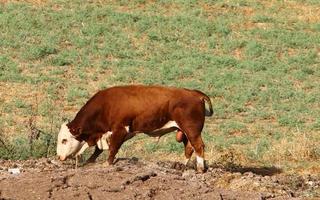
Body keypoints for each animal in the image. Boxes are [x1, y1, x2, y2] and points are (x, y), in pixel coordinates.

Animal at [56, 84, 214, 172]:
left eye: (64, 140)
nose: (58, 156)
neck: (106, 105)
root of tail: (194, 93)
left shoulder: (120, 130)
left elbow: (113, 148)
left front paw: (107, 163)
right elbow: (98, 150)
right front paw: (89, 161)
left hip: (191, 129)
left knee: (198, 146)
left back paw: (200, 169)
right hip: (184, 132)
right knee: (189, 148)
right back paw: (182, 166)